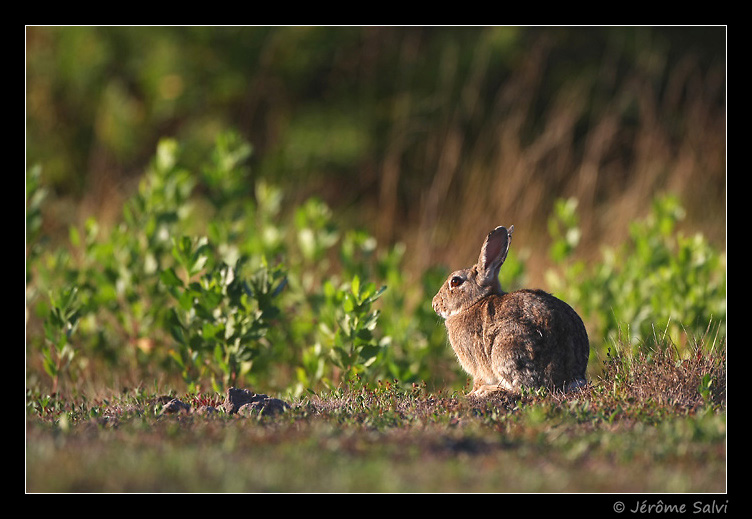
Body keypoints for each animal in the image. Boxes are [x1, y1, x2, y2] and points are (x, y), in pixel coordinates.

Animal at [432, 225, 589, 397]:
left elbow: (478, 380)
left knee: (522, 388)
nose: (435, 304)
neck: (473, 303)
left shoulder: (477, 363)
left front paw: (472, 393)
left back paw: (488, 390)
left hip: (506, 348)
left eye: (455, 281)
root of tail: (567, 378)